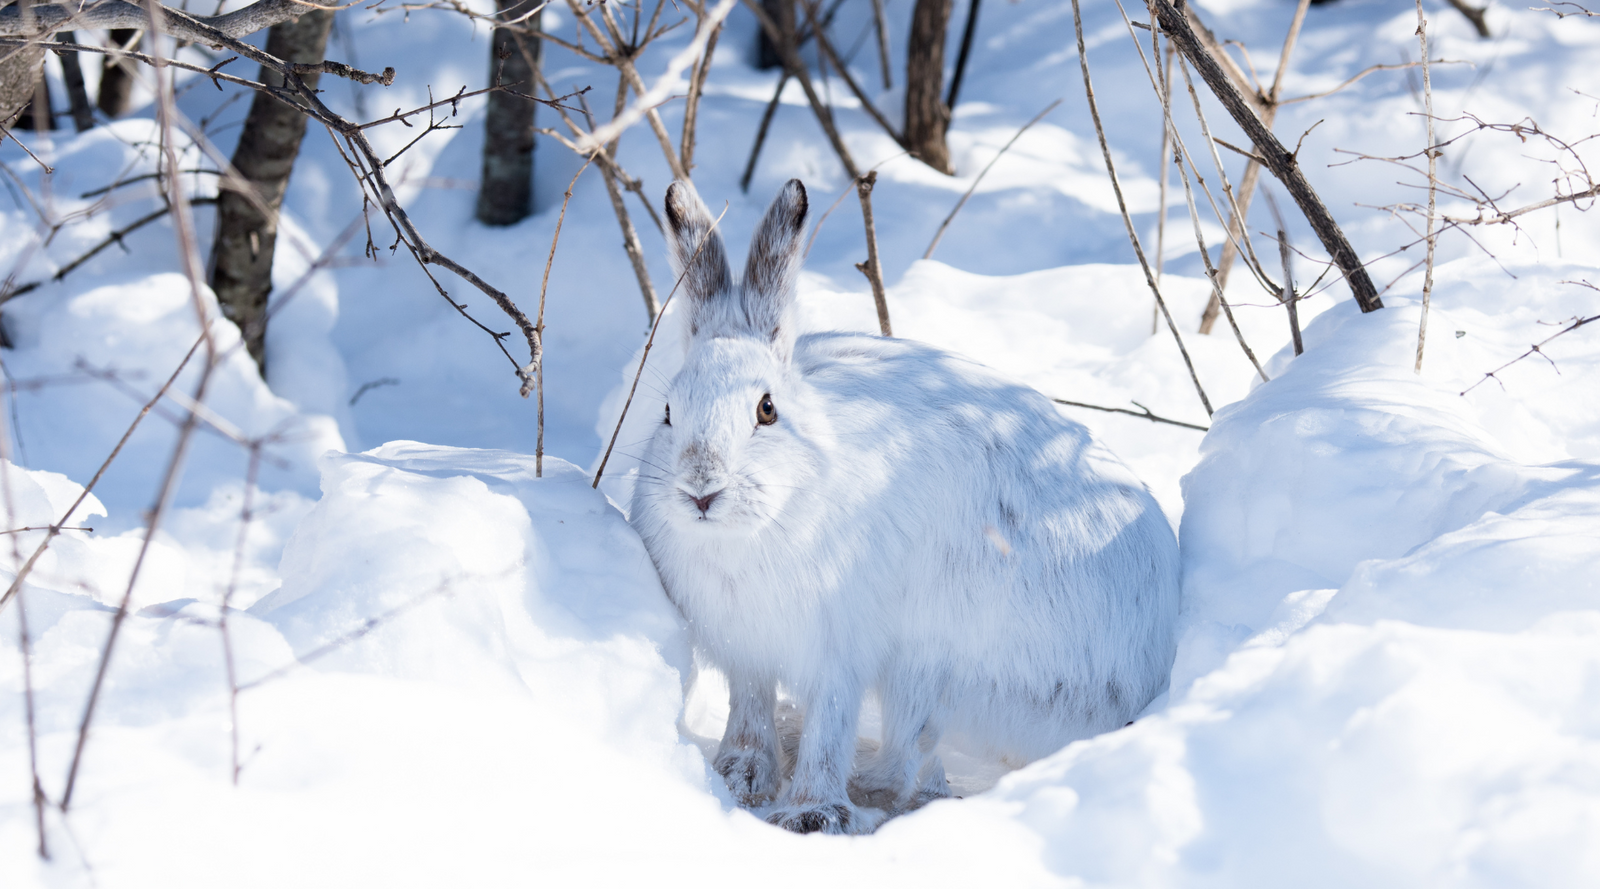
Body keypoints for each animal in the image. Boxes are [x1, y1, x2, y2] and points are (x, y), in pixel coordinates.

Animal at [630, 179, 1181, 835]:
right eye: (668, 412)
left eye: (767, 410)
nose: (700, 490)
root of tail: (1148, 677)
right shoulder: (747, 650)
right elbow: (749, 710)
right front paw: (739, 779)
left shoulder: (842, 648)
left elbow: (831, 725)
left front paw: (809, 812)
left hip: (934, 655)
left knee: (909, 759)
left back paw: (857, 787)